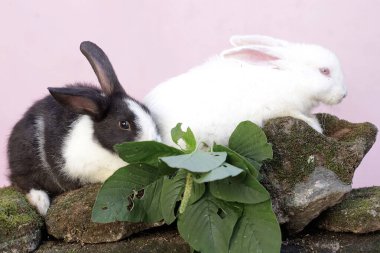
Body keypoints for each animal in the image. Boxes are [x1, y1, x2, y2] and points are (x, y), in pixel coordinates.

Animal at [8, 41, 160, 215]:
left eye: (147, 110)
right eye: (124, 124)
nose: (153, 140)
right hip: (25, 160)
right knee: (21, 179)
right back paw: (42, 203)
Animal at [145, 34, 348, 147]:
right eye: (324, 71)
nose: (344, 94)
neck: (289, 78)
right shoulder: (278, 108)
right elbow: (297, 114)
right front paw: (315, 125)